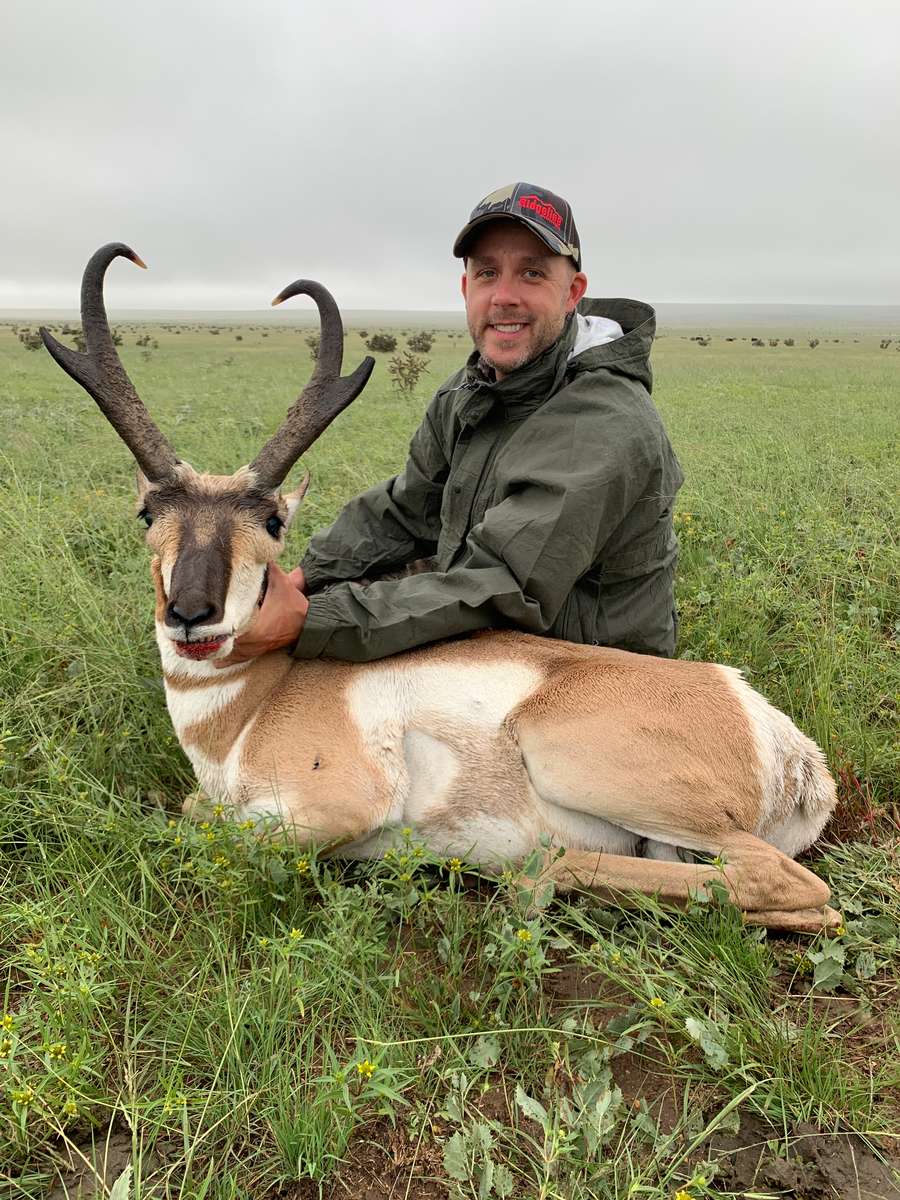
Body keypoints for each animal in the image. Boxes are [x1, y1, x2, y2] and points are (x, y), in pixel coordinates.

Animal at [44, 243, 844, 931]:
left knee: (787, 884)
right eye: (150, 513)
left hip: (576, 761)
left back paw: (527, 875)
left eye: (271, 521)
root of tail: (775, 734)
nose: (192, 614)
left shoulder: (333, 806)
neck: (254, 704)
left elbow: (199, 823)